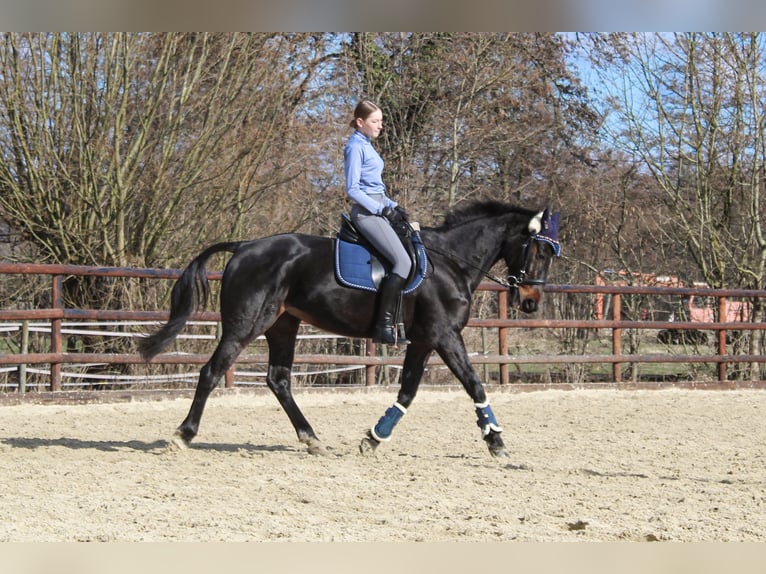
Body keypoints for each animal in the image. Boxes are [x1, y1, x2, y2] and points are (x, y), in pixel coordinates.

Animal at [138, 199, 561, 457]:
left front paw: (373, 439)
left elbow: (407, 392)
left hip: (282, 325)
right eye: (539, 250)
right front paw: (496, 441)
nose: (531, 302)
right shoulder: (443, 335)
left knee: (279, 379)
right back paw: (183, 434)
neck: (450, 262)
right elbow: (474, 385)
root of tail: (244, 246)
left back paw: (311, 440)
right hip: (247, 324)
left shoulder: (423, 340)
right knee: (212, 372)